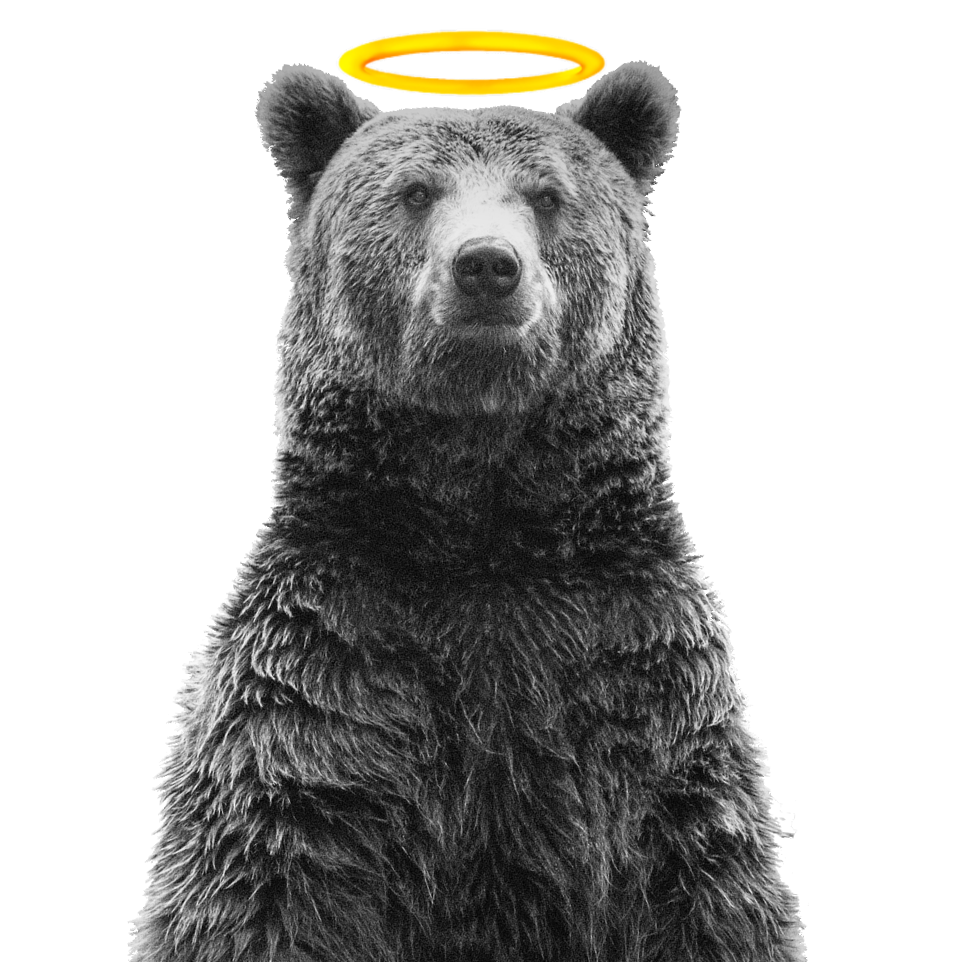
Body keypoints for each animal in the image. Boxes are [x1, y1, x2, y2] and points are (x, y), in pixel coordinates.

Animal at [129, 61, 806, 961]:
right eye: (416, 191)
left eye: (547, 194)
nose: (486, 265)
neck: (481, 527)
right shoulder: (330, 666)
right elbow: (262, 877)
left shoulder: (639, 680)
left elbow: (702, 880)